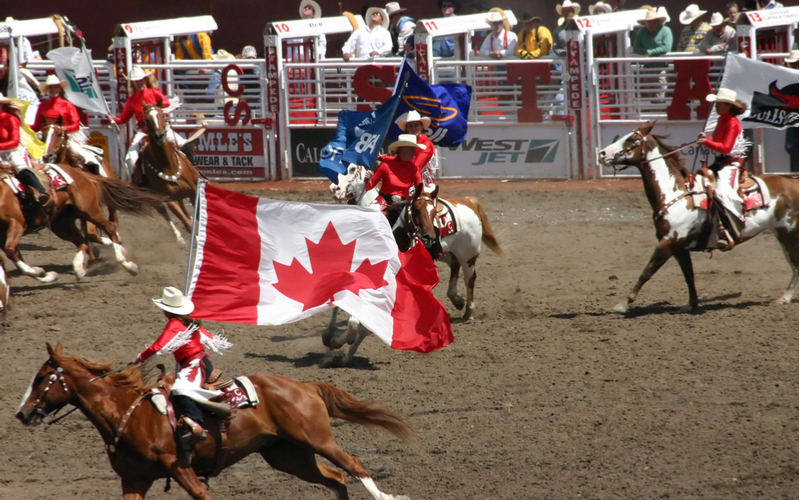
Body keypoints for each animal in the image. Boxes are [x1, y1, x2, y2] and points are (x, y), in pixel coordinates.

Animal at [0, 163, 164, 282]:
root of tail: (79, 172)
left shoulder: (17, 223)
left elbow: (11, 250)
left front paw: (42, 273)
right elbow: (16, 258)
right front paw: (45, 274)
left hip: (88, 210)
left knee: (110, 228)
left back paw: (128, 265)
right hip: (61, 224)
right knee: (83, 241)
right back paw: (79, 268)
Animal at [15, 344, 418, 500]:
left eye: (42, 378)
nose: (22, 413)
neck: (128, 412)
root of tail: (304, 385)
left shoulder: (179, 467)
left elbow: (202, 494)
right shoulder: (135, 479)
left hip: (316, 439)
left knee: (353, 464)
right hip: (287, 455)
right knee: (334, 478)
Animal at [138, 102, 202, 244]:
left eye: (162, 115)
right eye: (147, 120)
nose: (160, 136)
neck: (169, 166)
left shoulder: (194, 190)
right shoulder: (170, 199)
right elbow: (187, 223)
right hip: (155, 198)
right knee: (165, 214)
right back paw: (179, 237)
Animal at [596, 120, 796, 312]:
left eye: (630, 139)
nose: (602, 154)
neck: (675, 193)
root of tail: (793, 182)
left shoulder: (668, 242)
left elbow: (647, 271)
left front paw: (623, 304)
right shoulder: (679, 248)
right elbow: (688, 275)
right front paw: (691, 304)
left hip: (788, 234)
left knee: (795, 265)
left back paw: (784, 298)